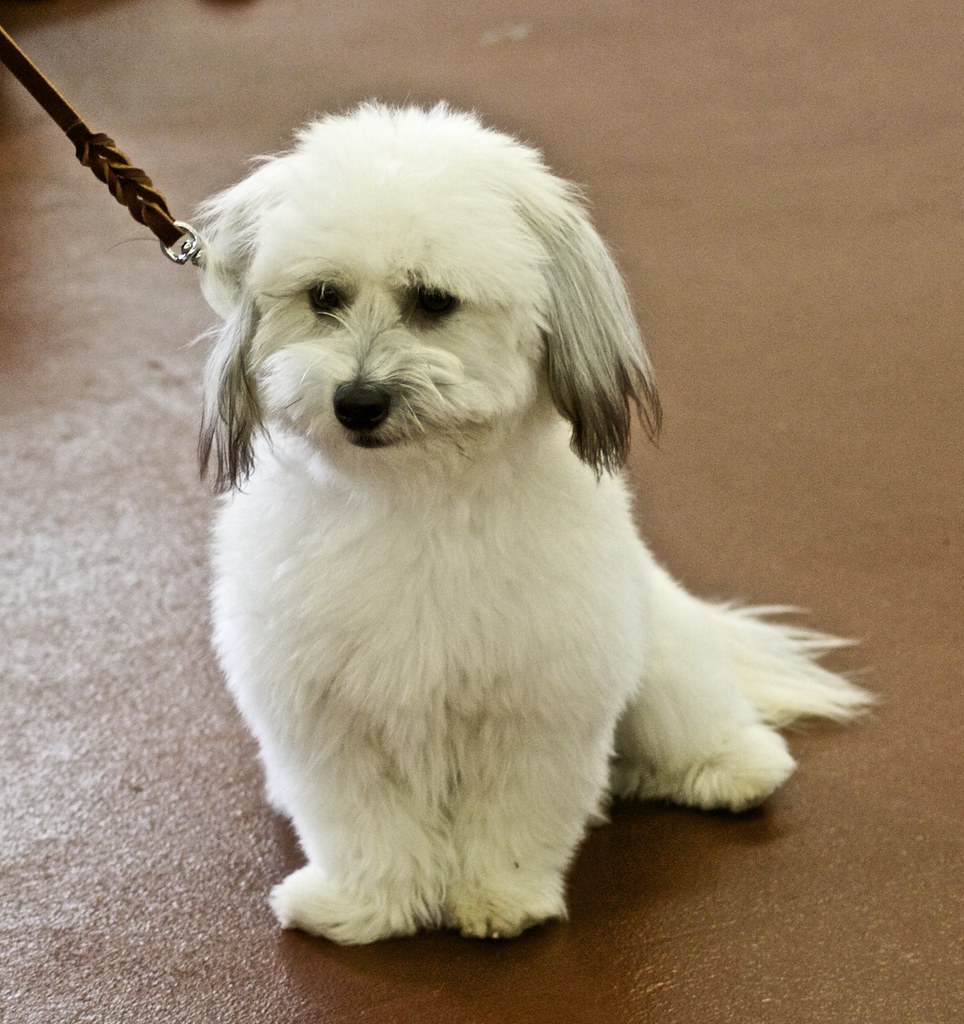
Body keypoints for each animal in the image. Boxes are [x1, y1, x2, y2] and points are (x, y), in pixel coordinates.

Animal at [193, 103, 864, 942]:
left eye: (434, 301)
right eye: (324, 295)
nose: (358, 401)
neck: (413, 498)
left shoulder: (537, 704)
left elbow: (514, 816)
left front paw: (498, 900)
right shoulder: (328, 715)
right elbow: (365, 826)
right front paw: (367, 905)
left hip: (663, 664)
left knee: (705, 729)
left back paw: (731, 770)